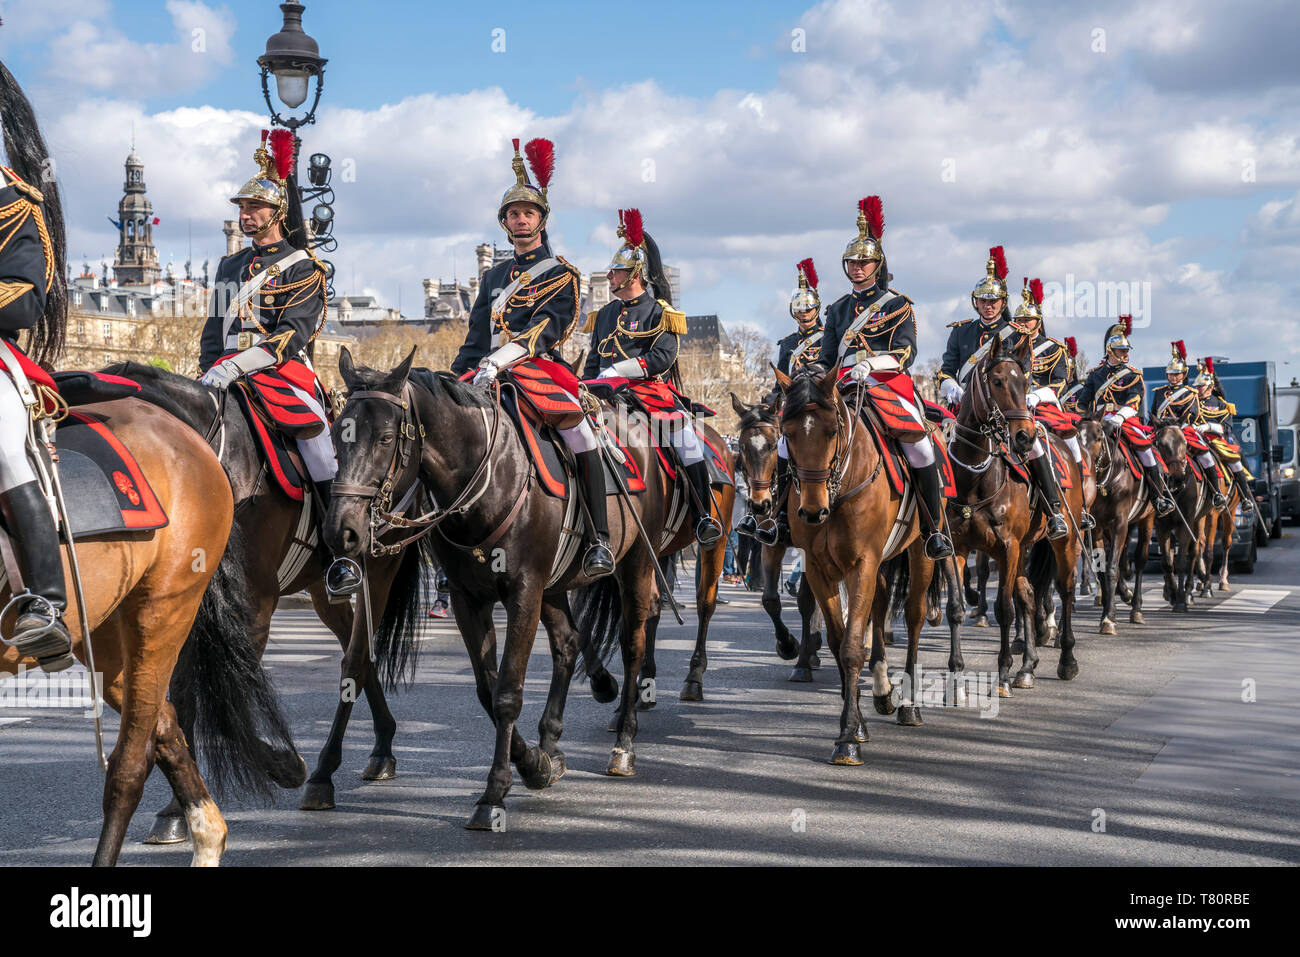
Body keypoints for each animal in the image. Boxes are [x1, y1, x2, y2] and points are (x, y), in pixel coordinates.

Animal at [101, 361, 403, 832]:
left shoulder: (253, 607)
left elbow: (222, 694)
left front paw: (283, 766)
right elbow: (182, 693)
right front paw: (179, 808)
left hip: (376, 568)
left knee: (360, 648)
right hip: (323, 591)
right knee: (353, 646)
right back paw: (380, 748)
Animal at [774, 361, 941, 764]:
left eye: (832, 430)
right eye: (787, 433)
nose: (812, 512)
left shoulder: (861, 563)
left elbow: (851, 647)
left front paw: (848, 736)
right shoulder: (821, 569)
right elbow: (839, 642)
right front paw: (858, 721)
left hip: (920, 552)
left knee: (914, 617)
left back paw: (909, 706)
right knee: (879, 607)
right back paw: (882, 689)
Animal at [946, 335, 1086, 696]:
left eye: (1026, 383)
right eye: (996, 381)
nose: (1025, 436)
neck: (975, 478)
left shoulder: (1006, 548)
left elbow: (1004, 609)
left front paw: (1002, 674)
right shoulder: (958, 548)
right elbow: (957, 608)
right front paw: (957, 676)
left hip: (1064, 541)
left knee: (1065, 589)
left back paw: (1067, 659)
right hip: (1025, 549)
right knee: (1029, 596)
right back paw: (1028, 667)